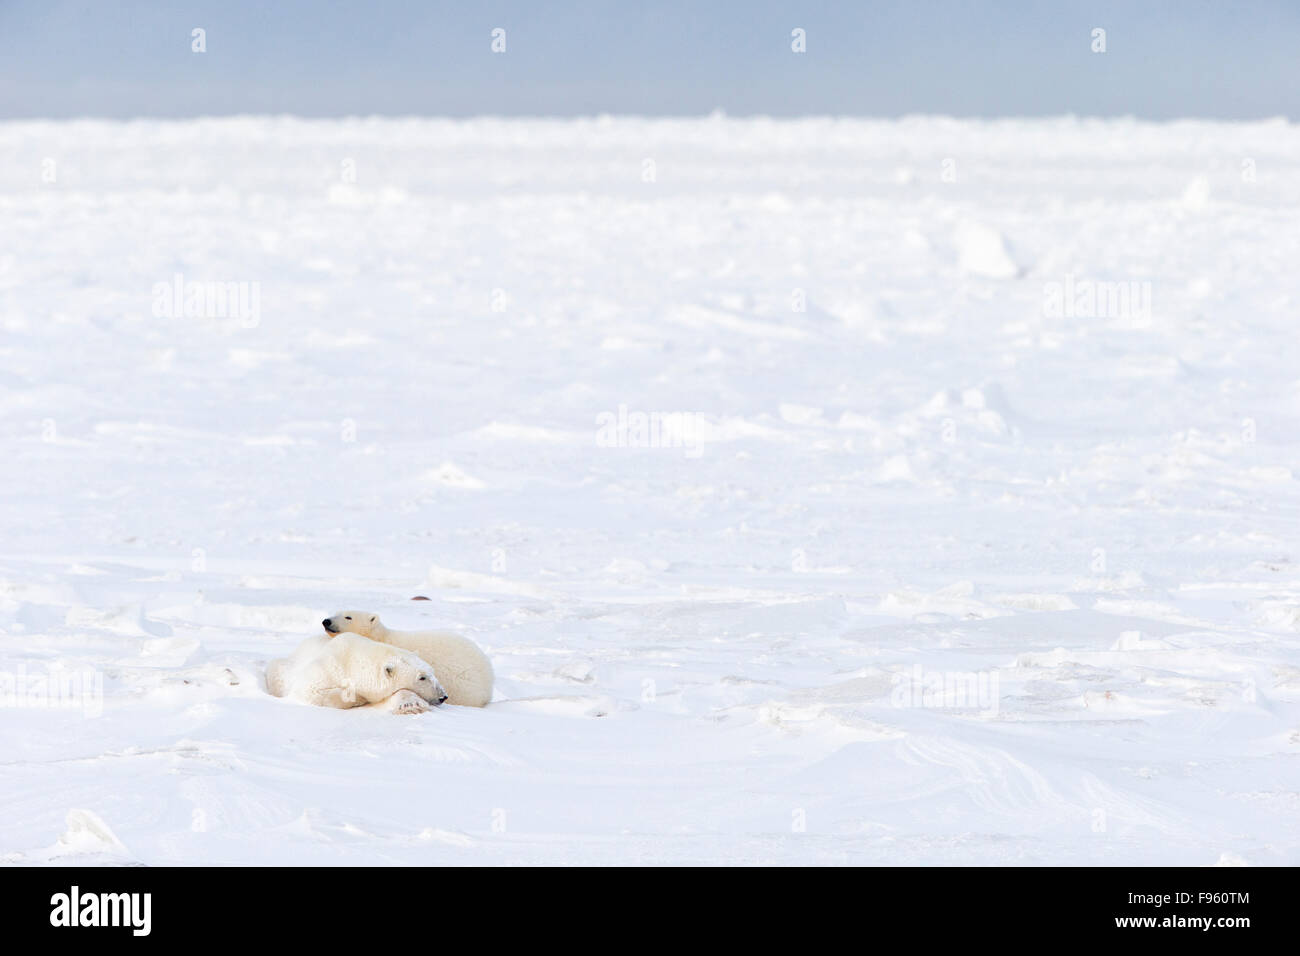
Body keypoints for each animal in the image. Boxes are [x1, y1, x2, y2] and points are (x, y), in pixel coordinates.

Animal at [266, 631, 448, 715]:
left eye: (433, 672)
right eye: (422, 677)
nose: (443, 696)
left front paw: (412, 705)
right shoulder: (326, 668)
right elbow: (310, 692)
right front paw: (356, 696)